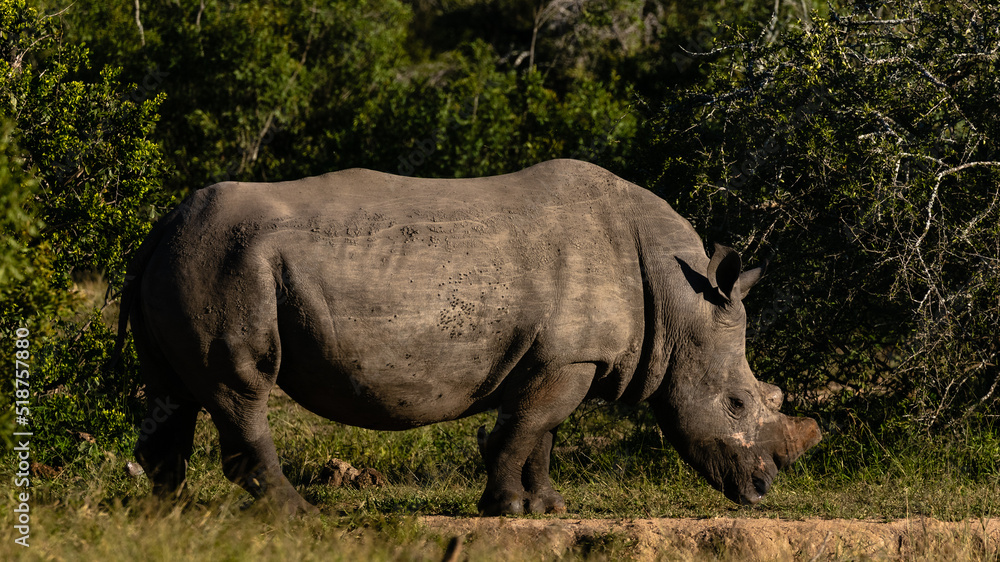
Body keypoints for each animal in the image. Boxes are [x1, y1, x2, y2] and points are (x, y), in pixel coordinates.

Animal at [115, 159, 820, 516]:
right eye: (736, 404)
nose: (762, 490)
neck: (680, 302)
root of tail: (161, 225)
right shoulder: (568, 358)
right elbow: (523, 431)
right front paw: (506, 510)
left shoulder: (560, 358)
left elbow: (540, 434)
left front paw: (548, 508)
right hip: (225, 265)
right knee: (240, 389)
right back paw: (297, 516)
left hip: (190, 261)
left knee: (173, 392)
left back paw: (166, 518)